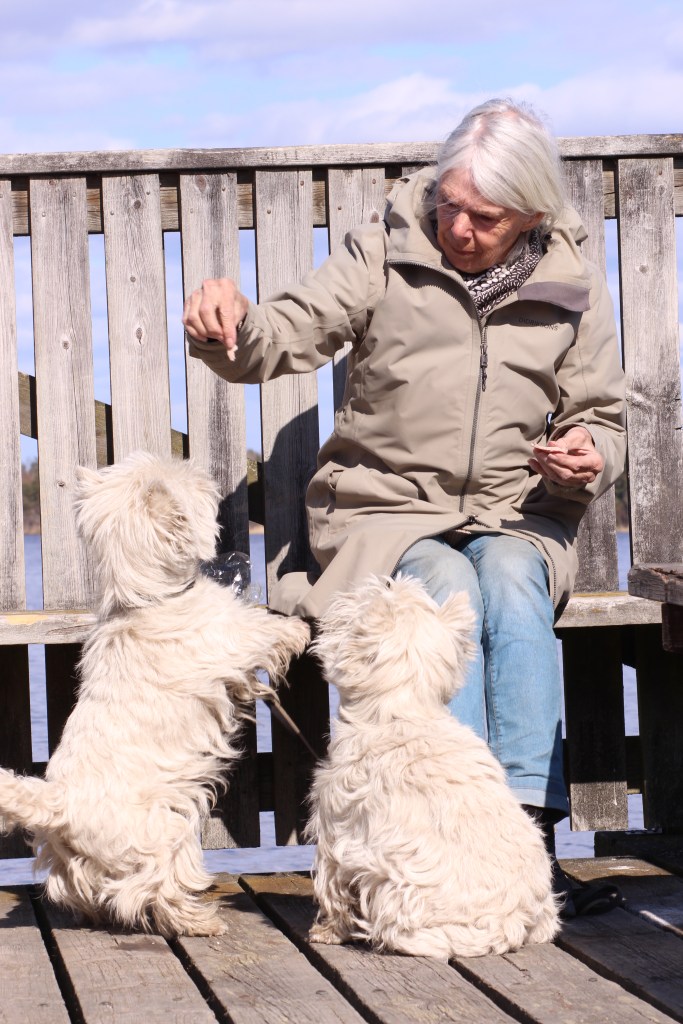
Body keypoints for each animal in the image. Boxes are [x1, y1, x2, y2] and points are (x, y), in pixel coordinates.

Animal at [0, 452, 309, 937]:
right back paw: (199, 920)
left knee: (81, 890)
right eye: (181, 476)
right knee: (152, 887)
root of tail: (61, 807)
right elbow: (265, 631)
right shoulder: (231, 638)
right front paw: (297, 629)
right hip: (163, 829)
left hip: (72, 859)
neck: (149, 599)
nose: (196, 465)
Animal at [307, 574, 559, 959]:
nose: (366, 580)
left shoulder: (334, 824)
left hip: (396, 889)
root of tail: (511, 921)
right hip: (545, 909)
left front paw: (327, 931)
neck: (404, 711)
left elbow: (332, 887)